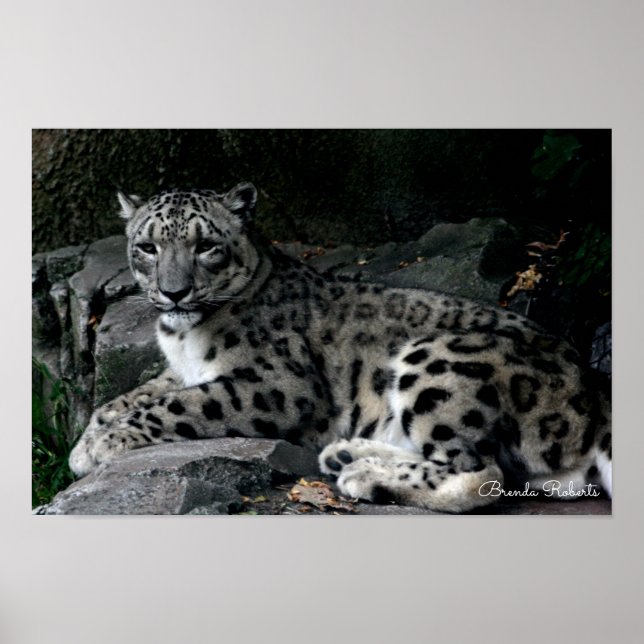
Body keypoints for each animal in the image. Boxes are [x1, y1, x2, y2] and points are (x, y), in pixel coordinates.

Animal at [68, 182, 612, 512]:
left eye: (206, 246)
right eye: (147, 247)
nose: (174, 292)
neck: (183, 335)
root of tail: (593, 390)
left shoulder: (275, 385)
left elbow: (179, 404)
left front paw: (100, 445)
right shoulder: (178, 370)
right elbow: (128, 396)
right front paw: (87, 439)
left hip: (438, 363)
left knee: (482, 473)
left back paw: (362, 475)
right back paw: (347, 454)